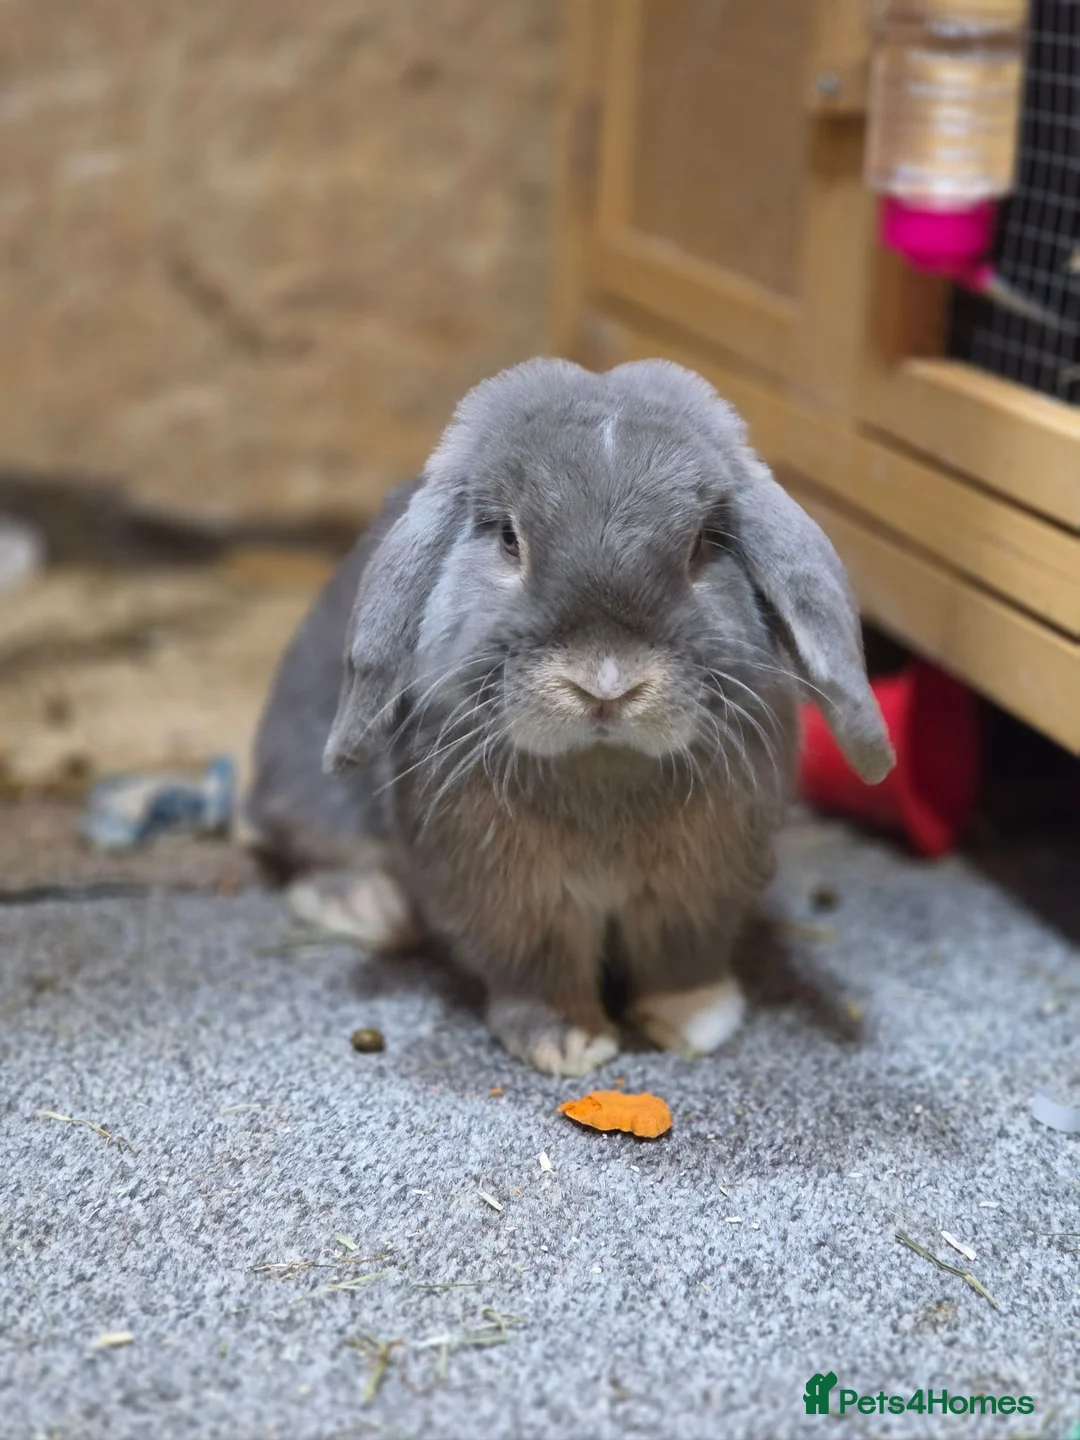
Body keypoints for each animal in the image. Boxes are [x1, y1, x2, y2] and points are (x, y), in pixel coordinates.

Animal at [245, 357, 894, 1076]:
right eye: (509, 538)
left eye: (702, 544)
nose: (605, 682)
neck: (602, 764)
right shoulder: (511, 894)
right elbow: (538, 965)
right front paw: (567, 1042)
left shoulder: (699, 885)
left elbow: (680, 954)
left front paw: (695, 1021)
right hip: (306, 786)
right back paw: (373, 910)